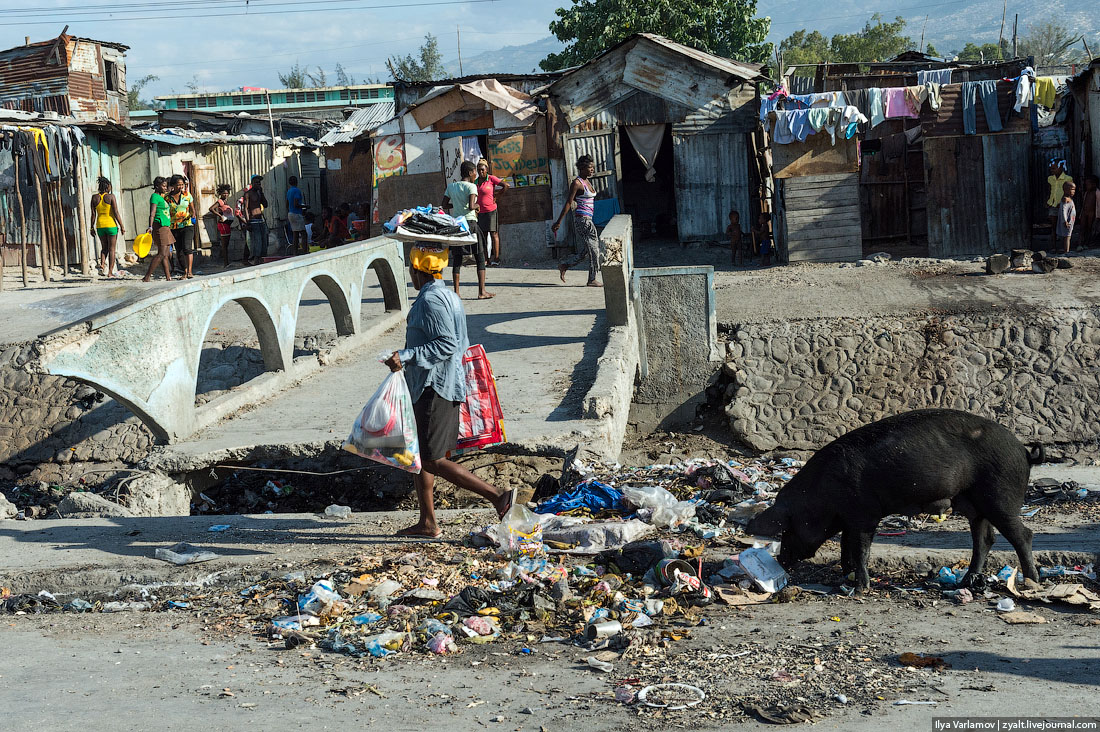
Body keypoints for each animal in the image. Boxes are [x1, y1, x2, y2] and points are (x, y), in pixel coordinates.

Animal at [748, 407, 1038, 590]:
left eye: (788, 529)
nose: (782, 561)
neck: (821, 495)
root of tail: (1023, 451)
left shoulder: (864, 514)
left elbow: (860, 547)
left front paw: (861, 587)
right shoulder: (850, 518)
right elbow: (846, 545)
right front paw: (845, 577)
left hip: (1000, 497)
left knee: (1023, 534)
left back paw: (1030, 582)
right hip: (974, 503)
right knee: (985, 539)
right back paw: (967, 582)